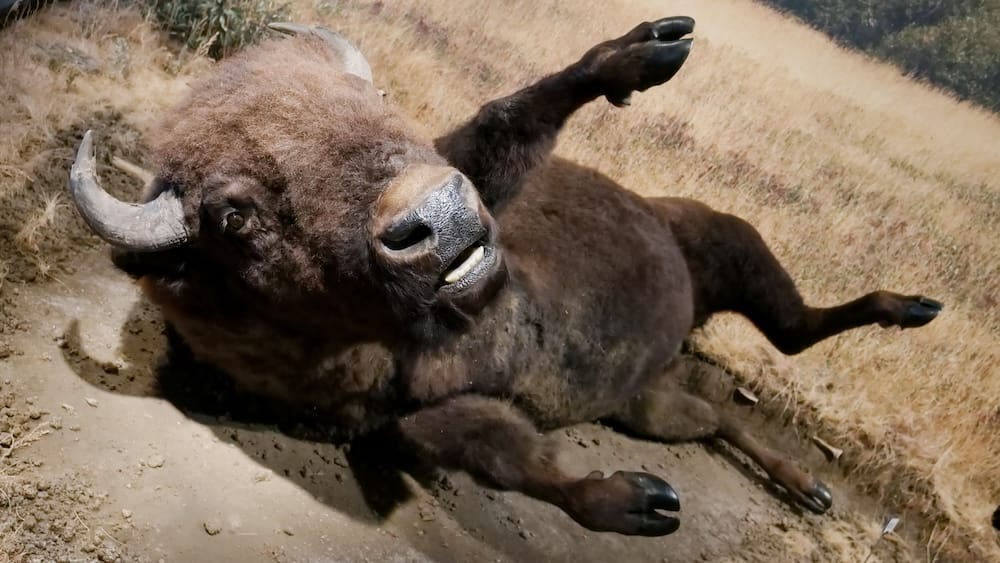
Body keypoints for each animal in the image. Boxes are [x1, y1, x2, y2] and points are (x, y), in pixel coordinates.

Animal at [68, 17, 942, 536]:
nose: (443, 214)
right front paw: (642, 504)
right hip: (651, 402)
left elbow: (502, 121)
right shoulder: (421, 418)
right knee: (731, 405)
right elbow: (511, 460)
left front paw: (640, 52)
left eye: (373, 93)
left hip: (733, 246)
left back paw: (912, 310)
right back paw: (810, 481)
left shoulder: (495, 196)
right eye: (236, 214)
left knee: (794, 330)